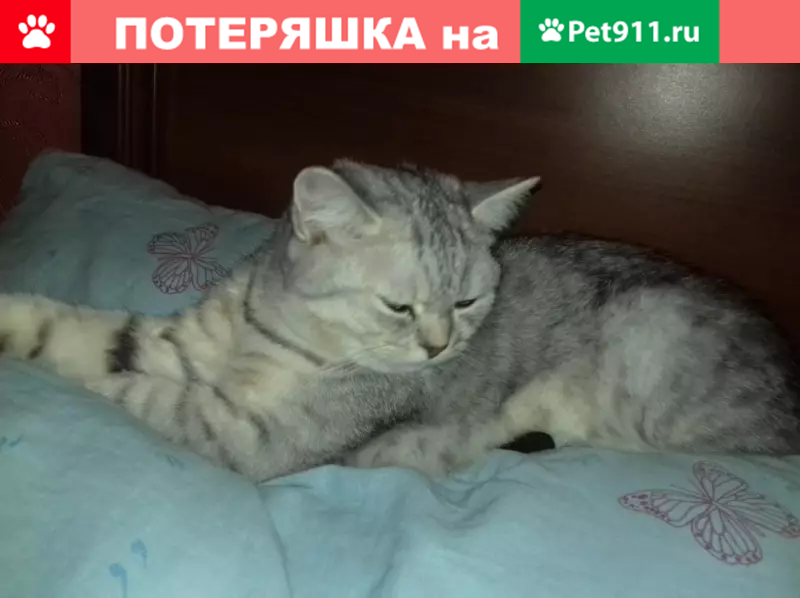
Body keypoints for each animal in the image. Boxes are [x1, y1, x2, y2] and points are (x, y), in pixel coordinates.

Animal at [0, 160, 798, 482]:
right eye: (399, 306)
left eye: (468, 302)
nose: (439, 347)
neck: (279, 331)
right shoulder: (181, 345)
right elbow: (84, 335)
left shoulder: (252, 436)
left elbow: (133, 394)